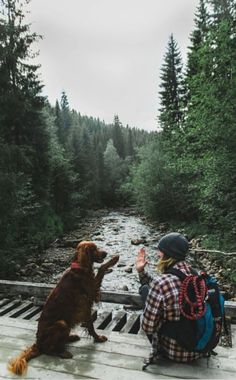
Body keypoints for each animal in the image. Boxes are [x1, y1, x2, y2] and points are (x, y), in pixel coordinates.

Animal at [8, 240, 119, 374]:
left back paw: (71, 337)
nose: (105, 253)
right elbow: (102, 268)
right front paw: (113, 259)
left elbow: (90, 325)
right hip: (61, 323)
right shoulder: (91, 292)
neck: (81, 267)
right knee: (48, 349)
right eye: (94, 249)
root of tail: (38, 344)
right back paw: (63, 352)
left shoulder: (87, 304)